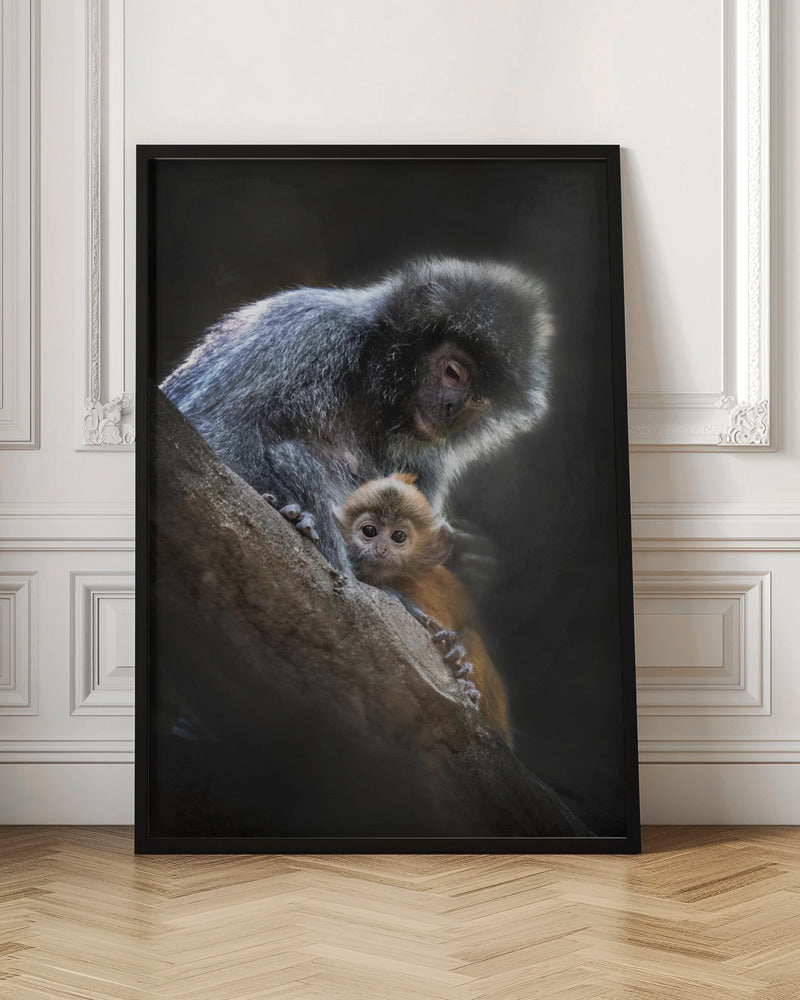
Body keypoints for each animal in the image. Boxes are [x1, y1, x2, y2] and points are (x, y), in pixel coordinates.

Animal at [161, 257, 552, 575]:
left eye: (479, 400)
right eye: (453, 372)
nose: (452, 410)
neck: (369, 385)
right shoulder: (310, 330)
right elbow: (211, 425)